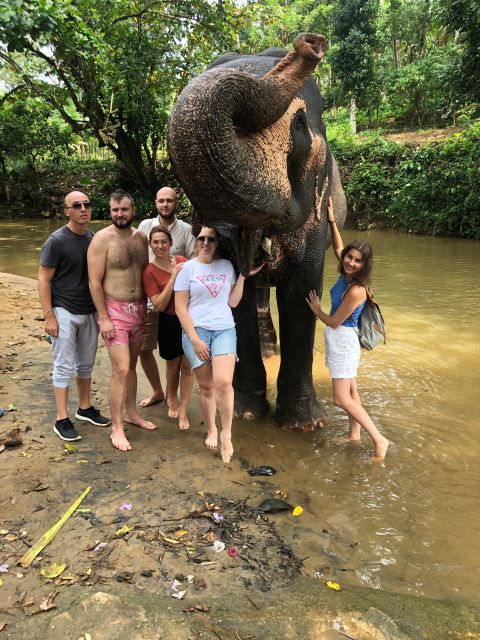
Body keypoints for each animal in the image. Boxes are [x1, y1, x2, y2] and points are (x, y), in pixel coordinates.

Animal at [168, 31, 344, 430]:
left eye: (298, 125)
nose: (309, 43)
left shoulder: (317, 219)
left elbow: (301, 294)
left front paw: (304, 424)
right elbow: (238, 298)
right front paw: (246, 412)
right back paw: (264, 348)